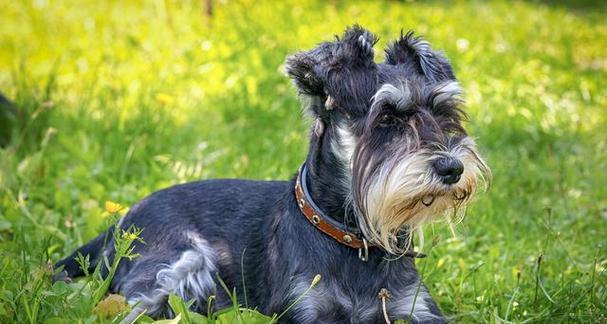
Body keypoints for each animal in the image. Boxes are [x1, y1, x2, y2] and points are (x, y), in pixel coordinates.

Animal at [55, 26, 494, 322]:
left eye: (444, 112)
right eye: (387, 117)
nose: (452, 168)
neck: (353, 239)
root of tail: (121, 221)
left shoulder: (415, 309)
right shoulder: (305, 310)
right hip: (178, 263)